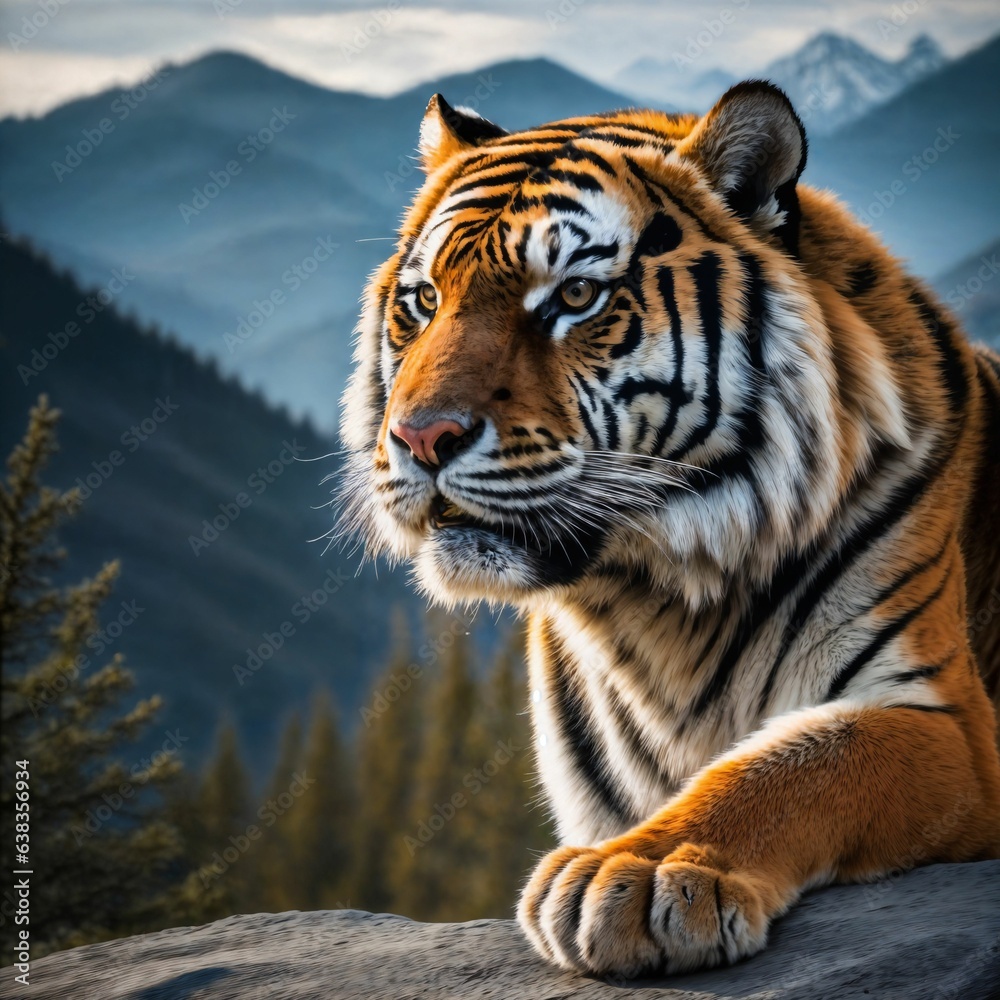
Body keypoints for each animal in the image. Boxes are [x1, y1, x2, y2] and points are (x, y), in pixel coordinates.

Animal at [338, 80, 1000, 977]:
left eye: (575, 297)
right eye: (425, 301)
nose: (421, 437)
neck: (657, 603)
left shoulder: (950, 724)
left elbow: (801, 762)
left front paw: (644, 873)